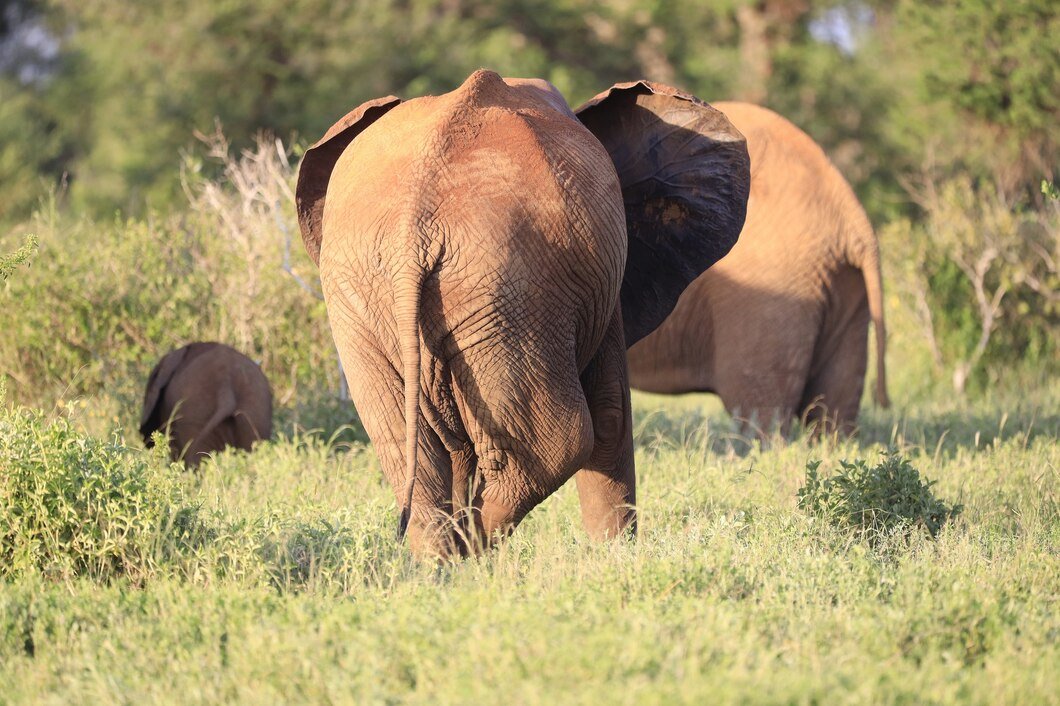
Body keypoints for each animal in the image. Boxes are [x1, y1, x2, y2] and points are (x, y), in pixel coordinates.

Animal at [294, 71, 750, 555]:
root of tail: (412, 226)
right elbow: (611, 415)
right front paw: (615, 558)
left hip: (372, 294)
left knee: (406, 450)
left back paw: (444, 562)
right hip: (508, 288)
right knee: (560, 443)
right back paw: (469, 553)